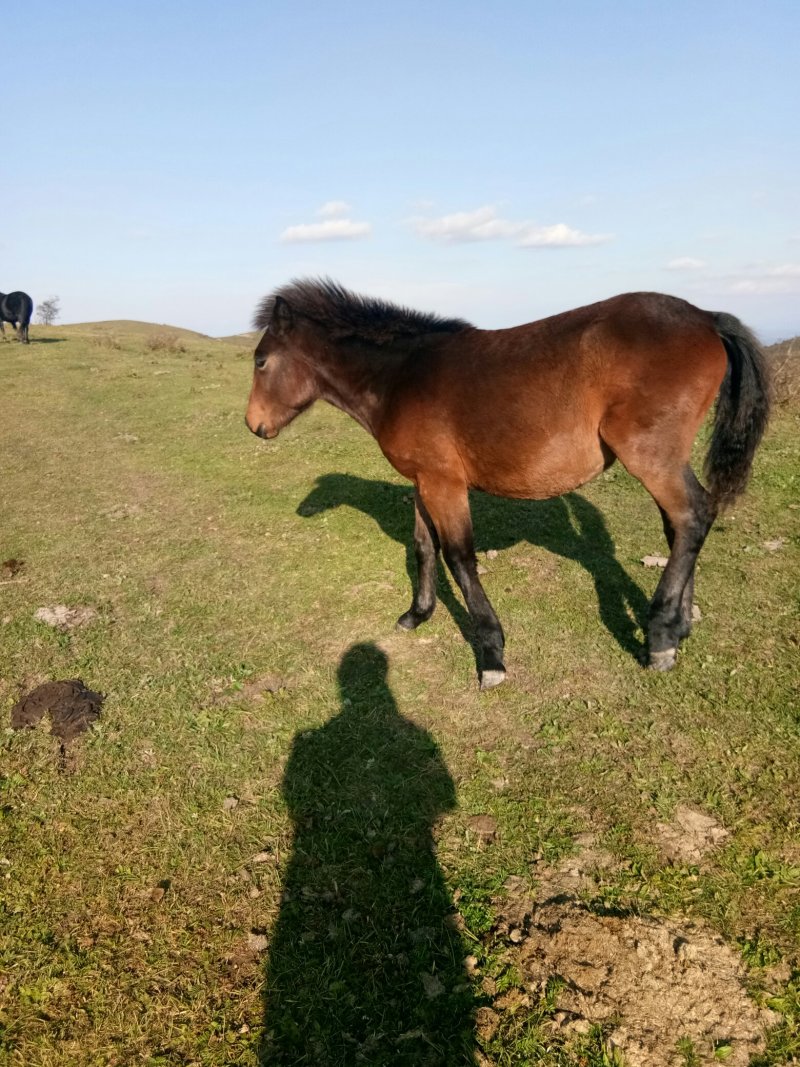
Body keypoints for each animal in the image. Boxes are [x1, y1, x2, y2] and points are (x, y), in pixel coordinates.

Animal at [245, 279, 770, 689]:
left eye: (261, 361)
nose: (254, 425)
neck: (402, 377)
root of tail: (705, 317)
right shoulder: (425, 479)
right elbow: (423, 546)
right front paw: (417, 614)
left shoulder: (445, 484)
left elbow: (459, 557)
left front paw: (491, 654)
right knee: (683, 524)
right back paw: (680, 627)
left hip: (650, 456)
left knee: (692, 516)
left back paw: (660, 635)